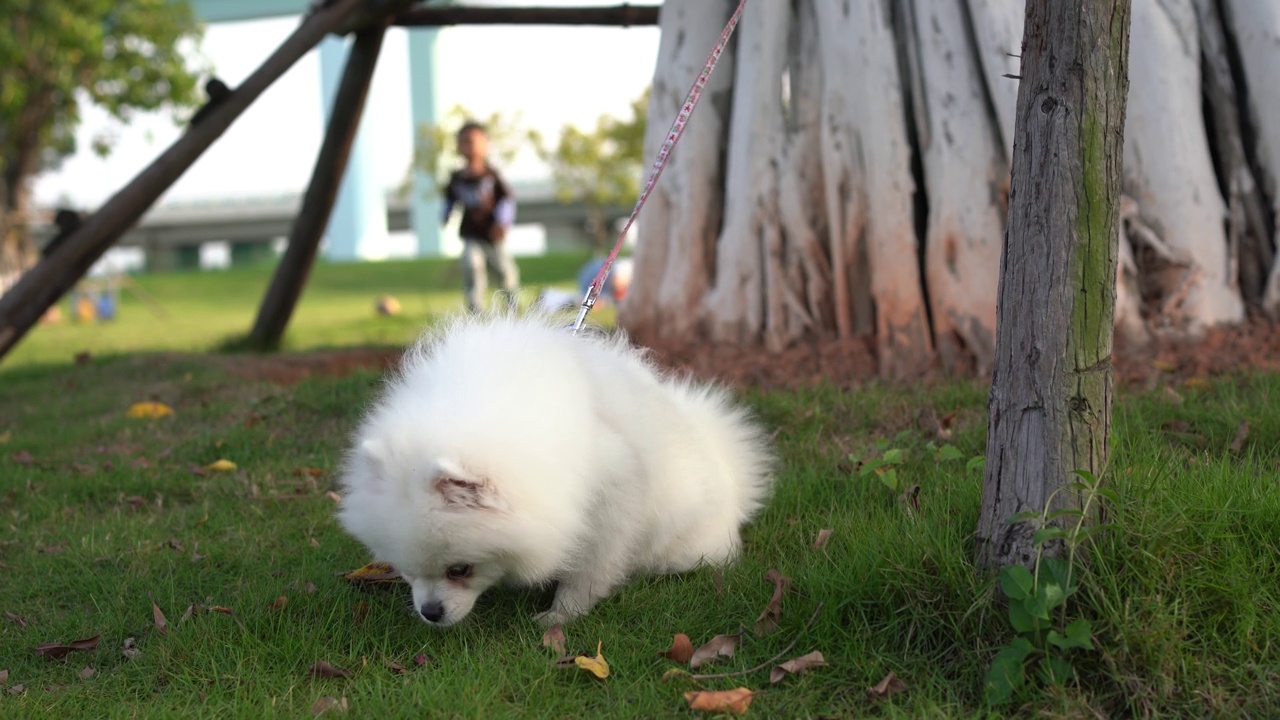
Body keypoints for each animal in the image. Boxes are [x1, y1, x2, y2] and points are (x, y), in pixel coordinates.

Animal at [337, 311, 768, 625]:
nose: (430, 613)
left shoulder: (610, 497)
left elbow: (589, 570)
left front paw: (560, 616)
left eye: (460, 570)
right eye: (406, 569)